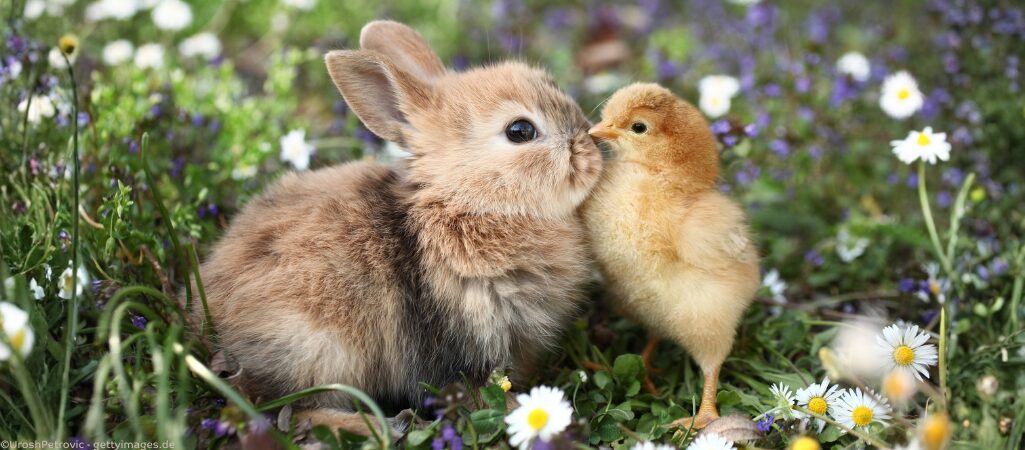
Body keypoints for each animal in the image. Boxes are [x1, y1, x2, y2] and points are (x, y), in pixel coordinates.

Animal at [194, 20, 603, 434]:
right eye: (520, 131)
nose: (591, 145)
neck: (466, 200)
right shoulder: (454, 344)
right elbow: (469, 391)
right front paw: (524, 410)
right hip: (319, 347)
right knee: (292, 411)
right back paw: (384, 425)